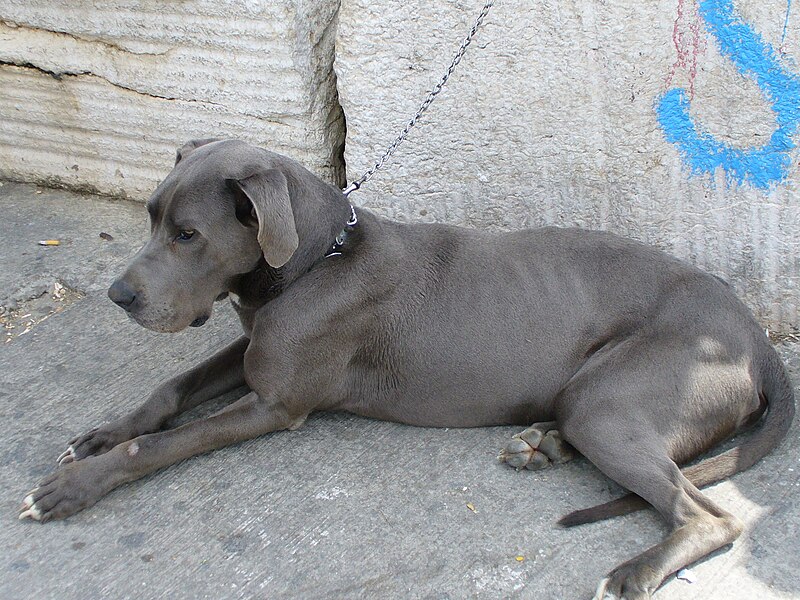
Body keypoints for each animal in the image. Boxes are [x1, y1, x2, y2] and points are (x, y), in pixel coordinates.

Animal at [18, 139, 792, 600]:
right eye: (150, 218)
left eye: (188, 235)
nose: (119, 296)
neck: (315, 259)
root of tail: (757, 339)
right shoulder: (251, 352)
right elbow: (169, 392)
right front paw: (100, 435)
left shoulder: (275, 404)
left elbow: (161, 443)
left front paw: (72, 487)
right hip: (592, 402)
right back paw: (541, 446)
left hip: (608, 402)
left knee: (708, 516)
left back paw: (632, 571)